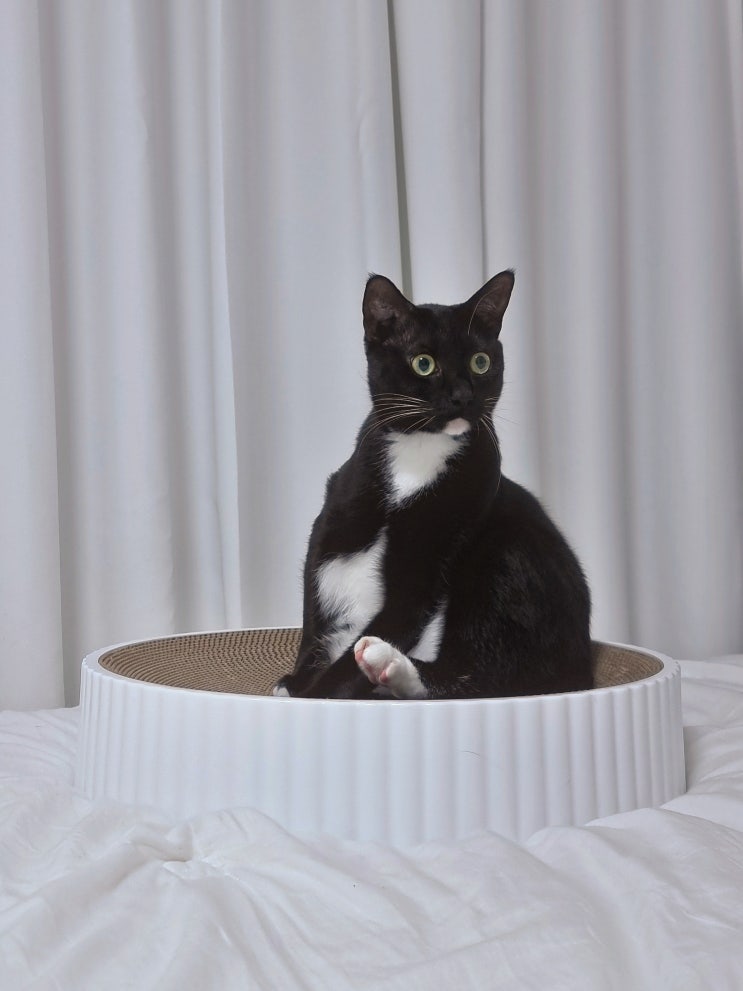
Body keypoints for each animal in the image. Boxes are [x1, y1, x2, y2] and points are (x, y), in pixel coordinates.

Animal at [273, 270, 593, 700]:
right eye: (423, 363)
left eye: (480, 361)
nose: (462, 396)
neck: (418, 454)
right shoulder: (335, 513)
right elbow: (313, 611)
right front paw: (294, 684)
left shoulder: (436, 555)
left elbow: (402, 613)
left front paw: (315, 695)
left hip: (504, 558)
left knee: (479, 676)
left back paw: (387, 665)